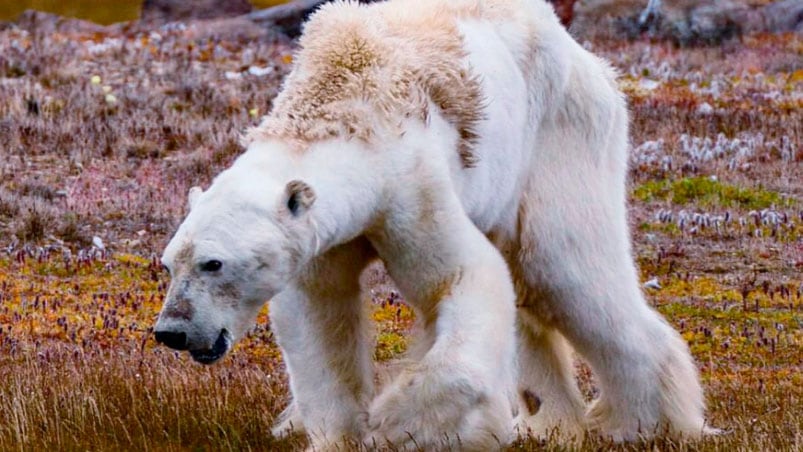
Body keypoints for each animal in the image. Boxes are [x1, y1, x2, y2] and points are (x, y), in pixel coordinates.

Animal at [152, 0, 708, 446]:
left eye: (213, 263)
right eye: (169, 264)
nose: (172, 332)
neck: (343, 103)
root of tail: (588, 59)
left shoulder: (410, 185)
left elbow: (462, 278)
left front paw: (400, 423)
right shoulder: (320, 238)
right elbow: (318, 316)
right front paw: (337, 434)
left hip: (559, 137)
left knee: (564, 270)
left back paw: (644, 424)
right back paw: (550, 422)